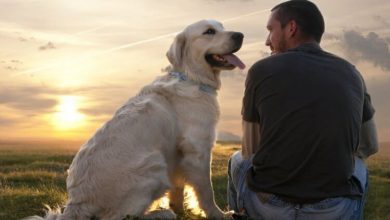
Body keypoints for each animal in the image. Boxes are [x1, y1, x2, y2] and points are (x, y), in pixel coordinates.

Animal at [26, 19, 244, 220]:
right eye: (209, 31)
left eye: (222, 27)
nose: (240, 35)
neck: (191, 78)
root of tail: (77, 203)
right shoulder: (198, 148)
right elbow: (206, 190)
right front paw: (218, 214)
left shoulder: (177, 153)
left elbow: (178, 188)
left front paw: (180, 210)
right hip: (153, 165)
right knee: (120, 217)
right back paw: (162, 214)